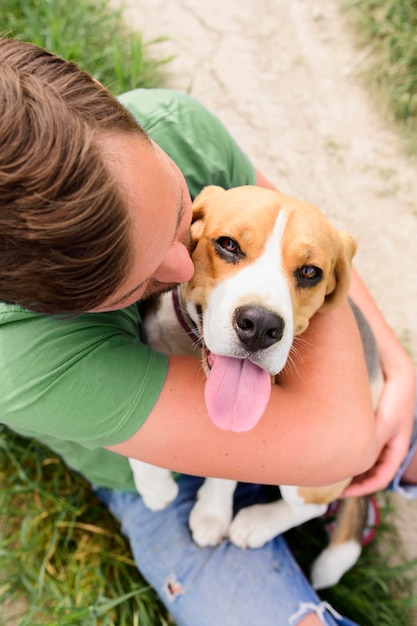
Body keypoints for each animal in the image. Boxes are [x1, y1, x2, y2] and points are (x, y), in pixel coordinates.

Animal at [129, 185, 380, 588]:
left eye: (310, 271)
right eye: (228, 244)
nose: (261, 325)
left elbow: (233, 464)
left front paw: (212, 513)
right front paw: (156, 486)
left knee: (316, 504)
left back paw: (257, 523)